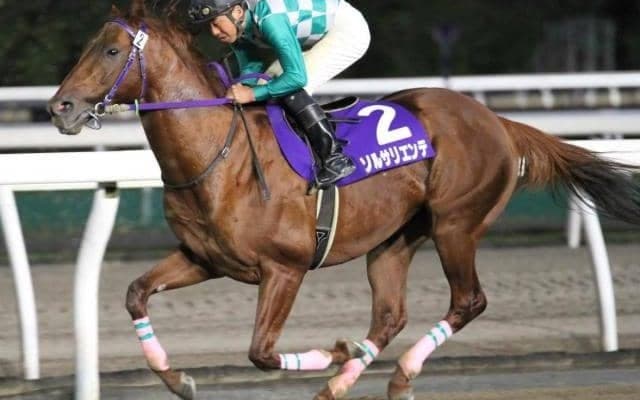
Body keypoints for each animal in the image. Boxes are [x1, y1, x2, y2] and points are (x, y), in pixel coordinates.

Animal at [48, 2, 640, 399]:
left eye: (111, 50)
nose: (60, 108)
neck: (220, 156)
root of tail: (496, 120)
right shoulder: (204, 259)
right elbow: (135, 294)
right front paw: (179, 379)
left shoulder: (285, 268)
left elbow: (261, 352)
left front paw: (336, 350)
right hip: (394, 241)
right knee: (390, 316)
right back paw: (345, 380)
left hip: (456, 225)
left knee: (468, 301)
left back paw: (394, 374)